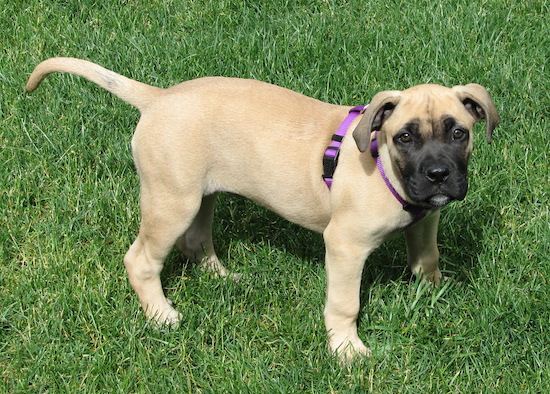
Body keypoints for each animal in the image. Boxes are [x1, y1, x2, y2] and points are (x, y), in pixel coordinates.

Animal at [25, 57, 500, 362]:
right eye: (404, 137)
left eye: (459, 132)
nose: (438, 174)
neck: (384, 164)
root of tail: (159, 99)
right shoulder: (344, 246)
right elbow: (345, 304)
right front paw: (346, 350)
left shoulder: (426, 220)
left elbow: (427, 259)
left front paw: (436, 293)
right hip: (172, 201)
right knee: (141, 259)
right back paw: (161, 316)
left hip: (202, 195)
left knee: (195, 241)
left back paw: (222, 278)